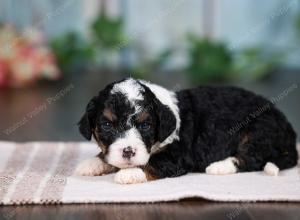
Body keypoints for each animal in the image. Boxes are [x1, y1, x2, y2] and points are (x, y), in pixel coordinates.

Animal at [75, 78, 298, 183]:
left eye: (145, 125)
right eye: (107, 125)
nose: (128, 152)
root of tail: (289, 131)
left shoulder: (178, 156)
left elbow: (153, 162)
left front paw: (129, 173)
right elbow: (107, 156)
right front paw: (92, 163)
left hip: (258, 131)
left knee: (252, 159)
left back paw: (219, 166)